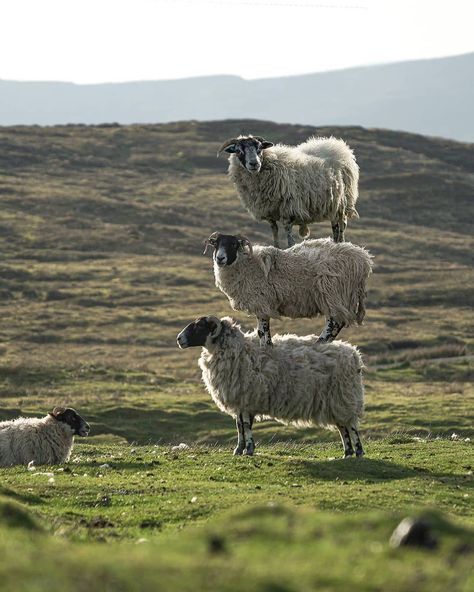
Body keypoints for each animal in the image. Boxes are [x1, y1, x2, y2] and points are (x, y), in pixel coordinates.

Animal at [176, 314, 364, 458]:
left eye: (200, 326)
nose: (179, 339)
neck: (237, 349)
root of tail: (353, 355)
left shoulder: (247, 398)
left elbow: (245, 425)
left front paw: (248, 450)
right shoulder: (241, 400)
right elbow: (239, 426)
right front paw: (239, 449)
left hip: (343, 396)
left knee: (351, 426)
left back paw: (358, 452)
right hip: (335, 402)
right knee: (342, 427)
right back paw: (347, 453)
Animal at [204, 232, 374, 346]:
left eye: (233, 244)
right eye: (216, 244)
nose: (220, 258)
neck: (246, 265)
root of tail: (363, 259)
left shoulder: (261, 303)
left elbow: (262, 332)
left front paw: (266, 346)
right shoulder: (262, 306)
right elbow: (262, 332)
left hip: (333, 293)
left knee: (335, 323)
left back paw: (319, 343)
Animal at [218, 133, 360, 246]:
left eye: (259, 149)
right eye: (238, 151)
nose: (254, 164)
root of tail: (337, 146)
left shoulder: (288, 211)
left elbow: (290, 240)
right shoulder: (269, 214)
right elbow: (275, 234)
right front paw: (276, 248)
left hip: (341, 203)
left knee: (340, 228)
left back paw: (340, 244)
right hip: (333, 205)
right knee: (335, 227)